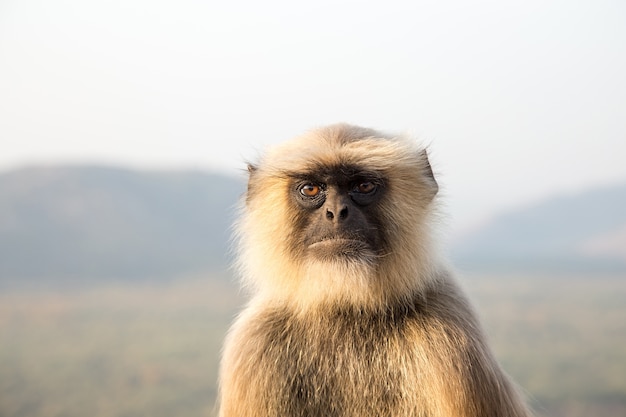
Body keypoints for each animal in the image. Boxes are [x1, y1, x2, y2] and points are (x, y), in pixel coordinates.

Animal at [217, 123, 528, 416]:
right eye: (311, 189)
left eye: (363, 186)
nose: (336, 212)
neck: (347, 308)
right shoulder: (254, 341)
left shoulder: (452, 336)